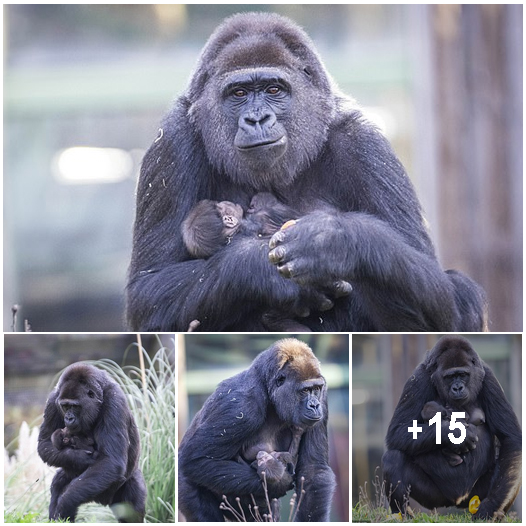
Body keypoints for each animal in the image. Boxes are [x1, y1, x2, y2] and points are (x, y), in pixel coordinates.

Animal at [37, 366, 146, 524]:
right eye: (65, 406)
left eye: (75, 406)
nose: (68, 418)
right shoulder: (53, 400)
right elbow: (44, 444)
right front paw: (79, 457)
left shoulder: (115, 402)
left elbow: (111, 461)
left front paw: (65, 503)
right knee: (58, 483)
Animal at [127, 11, 486, 334]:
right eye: (239, 93)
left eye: (273, 90)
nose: (256, 119)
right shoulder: (172, 141)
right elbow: (147, 292)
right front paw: (259, 270)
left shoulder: (365, 145)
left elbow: (449, 303)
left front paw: (336, 243)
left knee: (463, 293)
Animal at [177, 340, 334, 520]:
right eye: (305, 390)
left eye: (316, 389)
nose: (315, 405)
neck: (267, 387)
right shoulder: (241, 407)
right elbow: (197, 460)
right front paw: (280, 479)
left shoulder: (323, 398)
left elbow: (314, 471)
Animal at [384, 336, 524, 520]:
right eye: (450, 377)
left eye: (462, 375)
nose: (458, 388)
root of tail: (457, 501)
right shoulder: (418, 378)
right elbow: (399, 431)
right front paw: (455, 433)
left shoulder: (489, 377)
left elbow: (511, 439)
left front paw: (490, 507)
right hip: (435, 497)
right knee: (392, 458)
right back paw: (403, 515)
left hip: (474, 495)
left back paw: (497, 513)